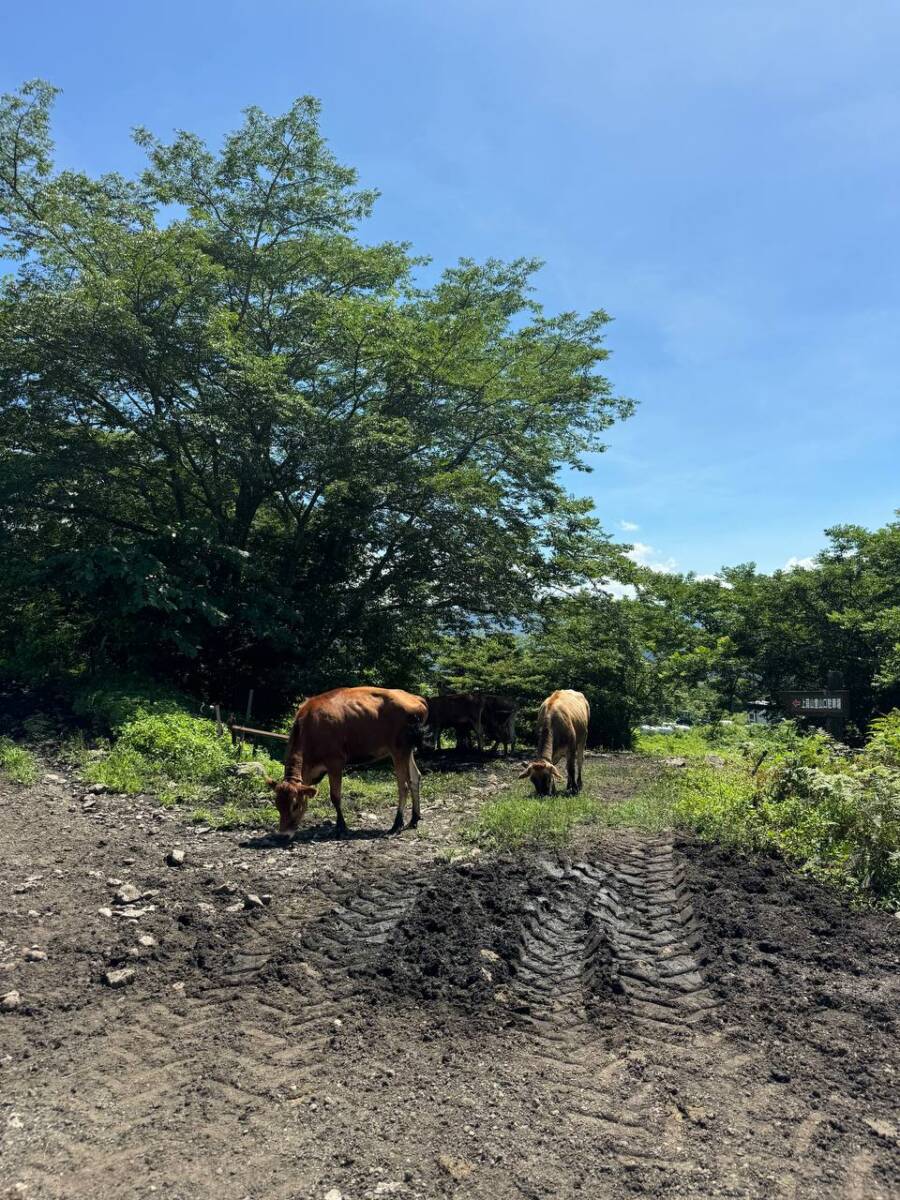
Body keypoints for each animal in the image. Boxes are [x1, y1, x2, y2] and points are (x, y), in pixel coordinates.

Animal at [271, 686, 429, 835]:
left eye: (295, 805)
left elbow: (335, 796)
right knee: (415, 777)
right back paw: (414, 819)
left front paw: (341, 827)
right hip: (407, 749)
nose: (283, 835)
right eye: (277, 805)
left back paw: (396, 825)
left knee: (403, 786)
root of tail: (414, 697)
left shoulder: (335, 762)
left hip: (399, 749)